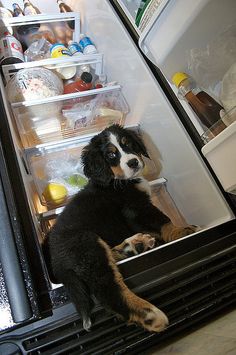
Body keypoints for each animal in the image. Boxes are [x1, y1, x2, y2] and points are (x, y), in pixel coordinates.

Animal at [43, 124, 196, 334]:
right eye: (111, 154)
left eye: (128, 144)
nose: (133, 162)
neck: (115, 181)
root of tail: (55, 260)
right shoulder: (137, 209)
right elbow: (163, 220)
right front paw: (181, 231)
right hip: (87, 245)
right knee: (107, 288)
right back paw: (149, 315)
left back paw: (135, 245)